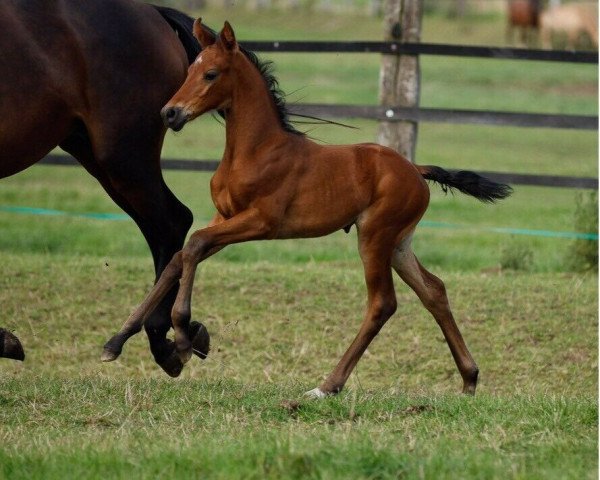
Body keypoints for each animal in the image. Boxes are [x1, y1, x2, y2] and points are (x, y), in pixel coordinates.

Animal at [0, 0, 209, 376]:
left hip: (123, 155)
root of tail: (153, 13)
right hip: (96, 153)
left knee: (172, 220)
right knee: (161, 225)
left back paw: (160, 338)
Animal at [102, 19, 510, 398]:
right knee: (434, 290)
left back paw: (327, 386)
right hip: (398, 243)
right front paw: (116, 342)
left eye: (211, 73)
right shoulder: (227, 217)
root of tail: (415, 169)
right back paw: (469, 379)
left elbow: (194, 243)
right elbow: (180, 256)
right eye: (188, 71)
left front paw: (185, 338)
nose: (169, 114)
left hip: (375, 237)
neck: (254, 151)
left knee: (382, 303)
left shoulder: (261, 222)